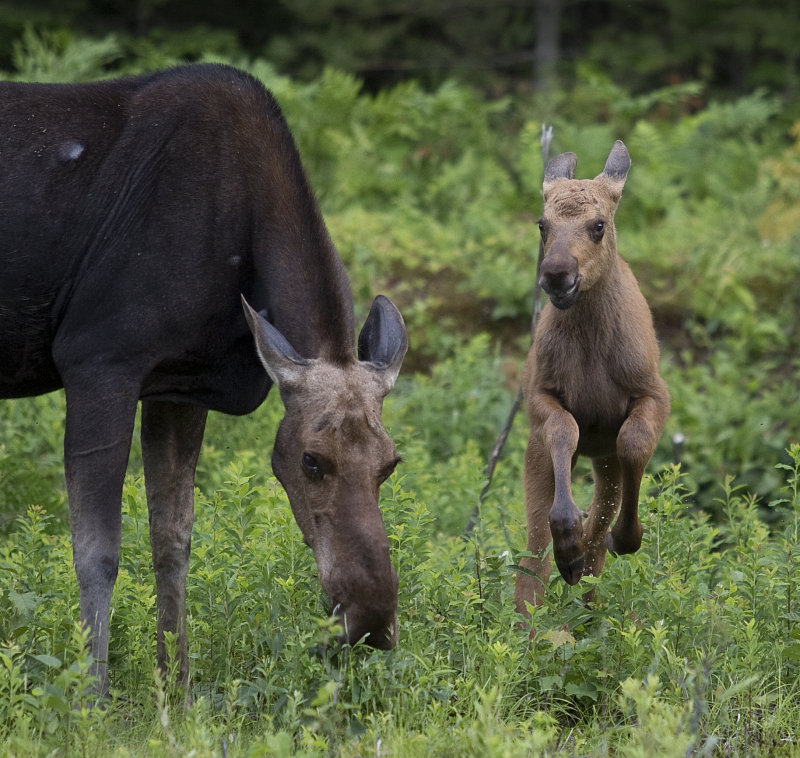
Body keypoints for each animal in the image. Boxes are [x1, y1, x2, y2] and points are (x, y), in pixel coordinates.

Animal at [0, 62, 410, 696]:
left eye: (391, 463)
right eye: (311, 461)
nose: (370, 620)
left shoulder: (178, 385)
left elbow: (172, 541)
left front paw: (178, 688)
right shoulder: (100, 362)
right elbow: (97, 553)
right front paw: (93, 699)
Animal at [512, 142, 668, 616]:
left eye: (599, 225)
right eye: (542, 224)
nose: (557, 274)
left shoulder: (654, 395)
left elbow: (633, 440)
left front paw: (628, 536)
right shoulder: (541, 396)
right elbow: (565, 428)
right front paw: (569, 538)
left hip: (605, 460)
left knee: (598, 535)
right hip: (539, 455)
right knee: (533, 560)